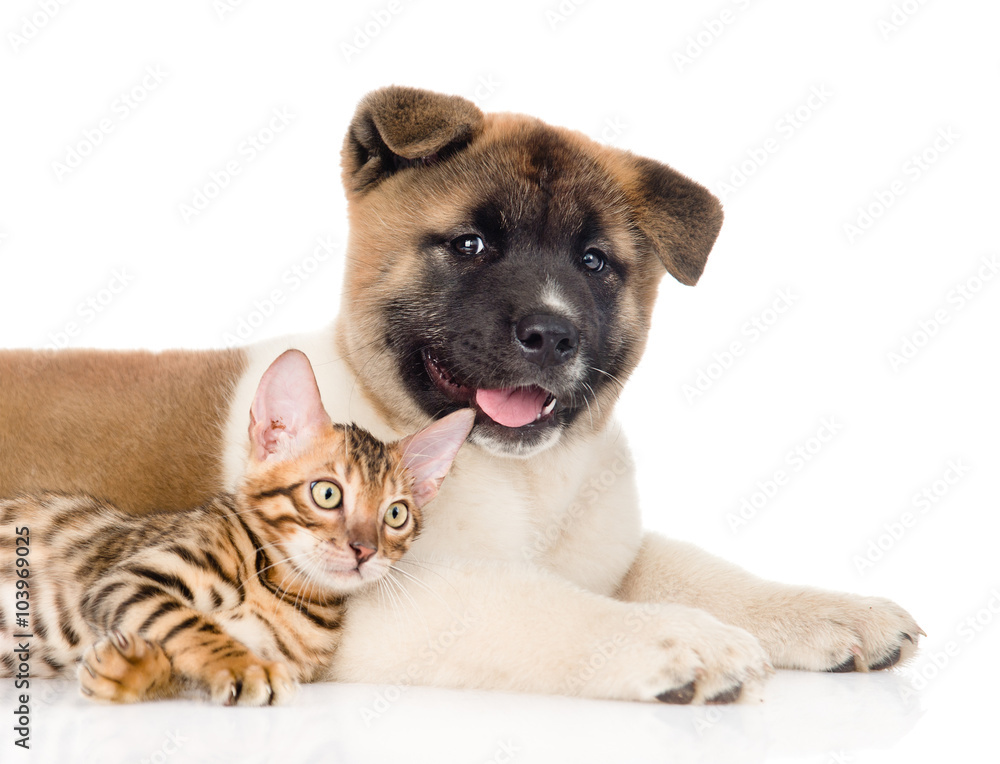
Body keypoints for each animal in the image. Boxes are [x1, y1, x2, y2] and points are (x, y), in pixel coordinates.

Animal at [0, 349, 473, 706]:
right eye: (327, 494)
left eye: (395, 515)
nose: (364, 549)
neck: (285, 593)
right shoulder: (125, 577)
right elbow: (187, 622)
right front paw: (241, 666)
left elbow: (175, 659)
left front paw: (128, 669)